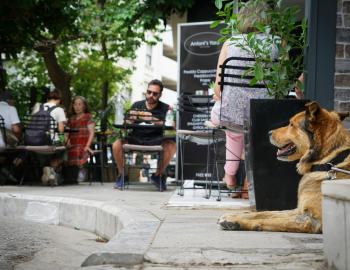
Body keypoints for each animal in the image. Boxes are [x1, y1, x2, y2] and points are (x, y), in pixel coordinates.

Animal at [219, 102, 350, 233]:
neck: (327, 160)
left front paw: (236, 221)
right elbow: (267, 213)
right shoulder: (298, 210)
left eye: (291, 124)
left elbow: (270, 219)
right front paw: (235, 216)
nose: (269, 133)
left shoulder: (310, 220)